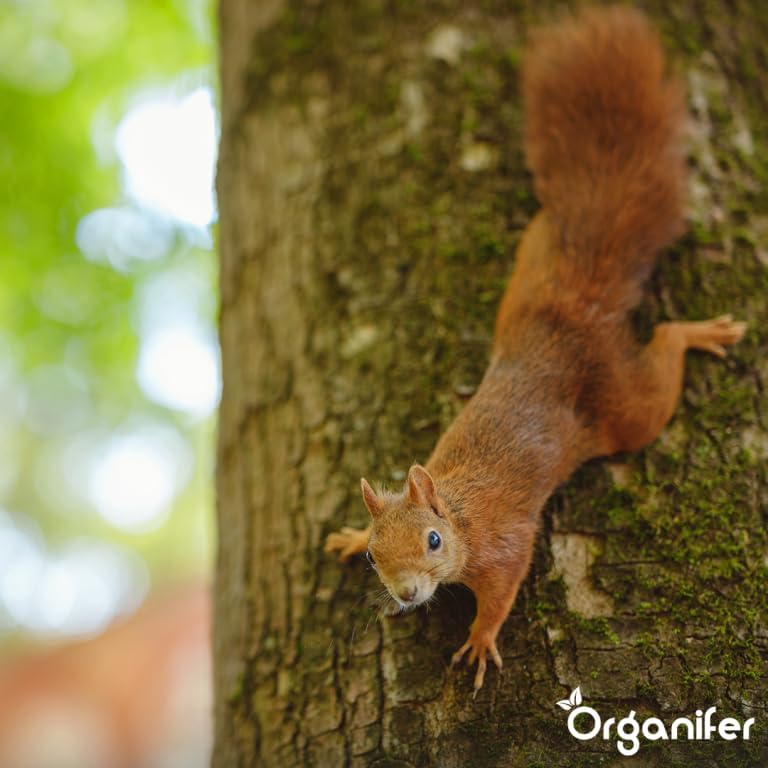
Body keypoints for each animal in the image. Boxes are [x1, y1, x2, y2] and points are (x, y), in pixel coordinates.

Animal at [325, 6, 747, 694]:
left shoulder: (504, 544)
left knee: (662, 356)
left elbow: (502, 591)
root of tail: (573, 314)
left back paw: (697, 333)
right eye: (373, 554)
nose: (408, 594)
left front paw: (479, 639)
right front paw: (343, 535)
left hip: (627, 407)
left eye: (434, 541)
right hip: (530, 268)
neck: (460, 513)